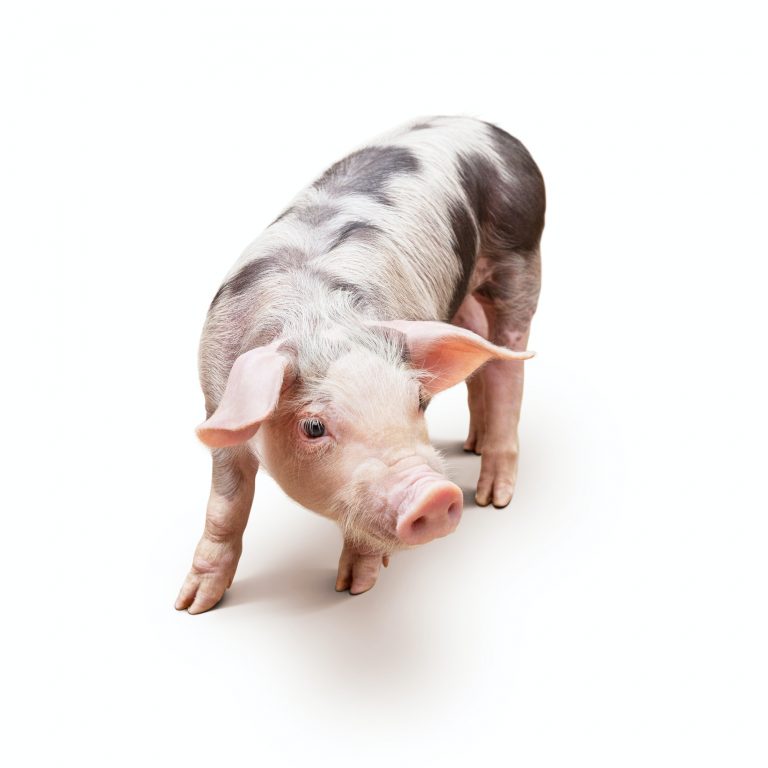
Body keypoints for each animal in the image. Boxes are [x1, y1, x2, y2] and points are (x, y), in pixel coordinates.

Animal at [176, 116, 545, 613]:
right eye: (313, 427)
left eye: (419, 402)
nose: (434, 494)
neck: (319, 320)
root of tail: (493, 129)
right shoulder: (218, 404)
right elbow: (225, 509)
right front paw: (192, 605)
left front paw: (354, 588)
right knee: (481, 355)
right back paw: (472, 446)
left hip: (521, 259)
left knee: (510, 364)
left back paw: (493, 500)